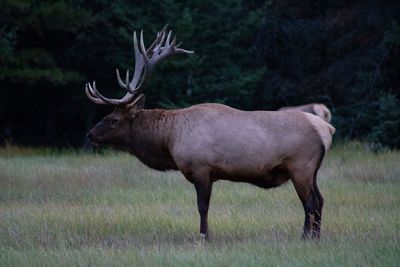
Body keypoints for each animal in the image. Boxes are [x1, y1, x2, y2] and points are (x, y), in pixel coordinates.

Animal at [86, 26, 336, 242]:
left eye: (113, 120)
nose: (90, 134)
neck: (170, 140)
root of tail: (327, 129)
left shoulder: (201, 167)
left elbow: (202, 206)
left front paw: (204, 236)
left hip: (300, 166)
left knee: (310, 203)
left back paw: (306, 237)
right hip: (312, 171)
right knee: (321, 200)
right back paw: (316, 236)